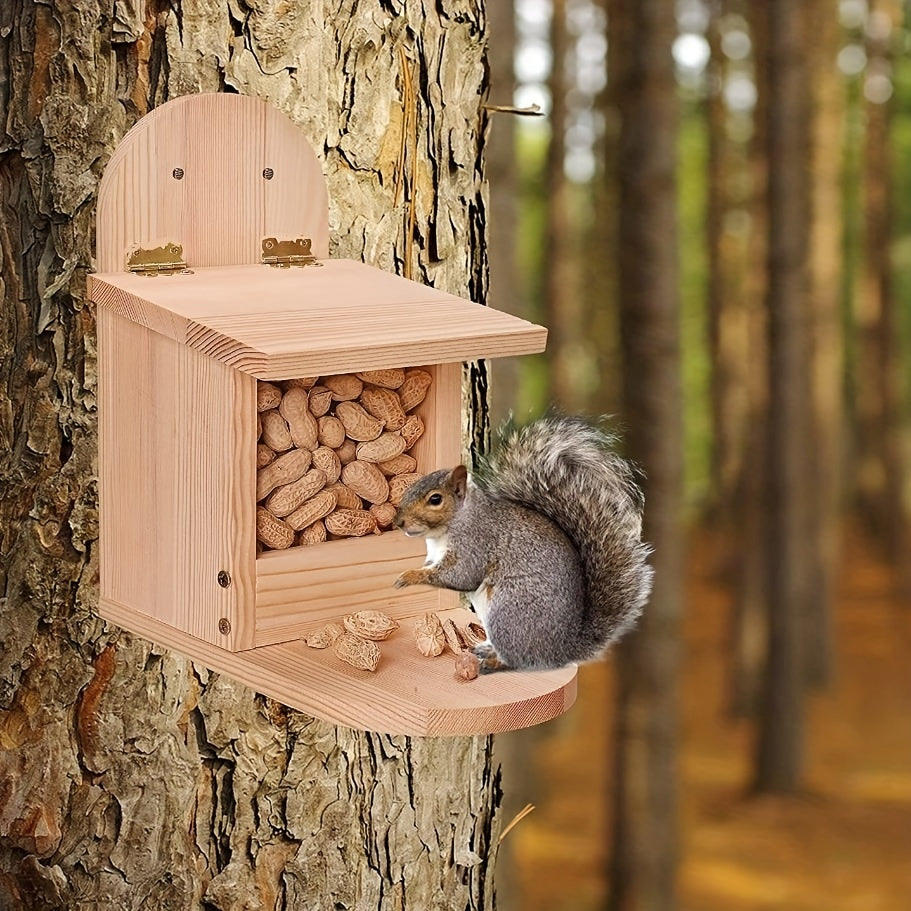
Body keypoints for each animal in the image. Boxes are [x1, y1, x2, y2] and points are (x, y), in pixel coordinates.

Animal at [392, 415, 653, 674]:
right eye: (409, 488)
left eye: (435, 499)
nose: (398, 521)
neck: (444, 530)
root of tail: (561, 651)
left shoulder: (475, 543)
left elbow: (461, 575)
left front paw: (409, 576)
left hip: (508, 612)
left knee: (518, 660)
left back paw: (493, 661)